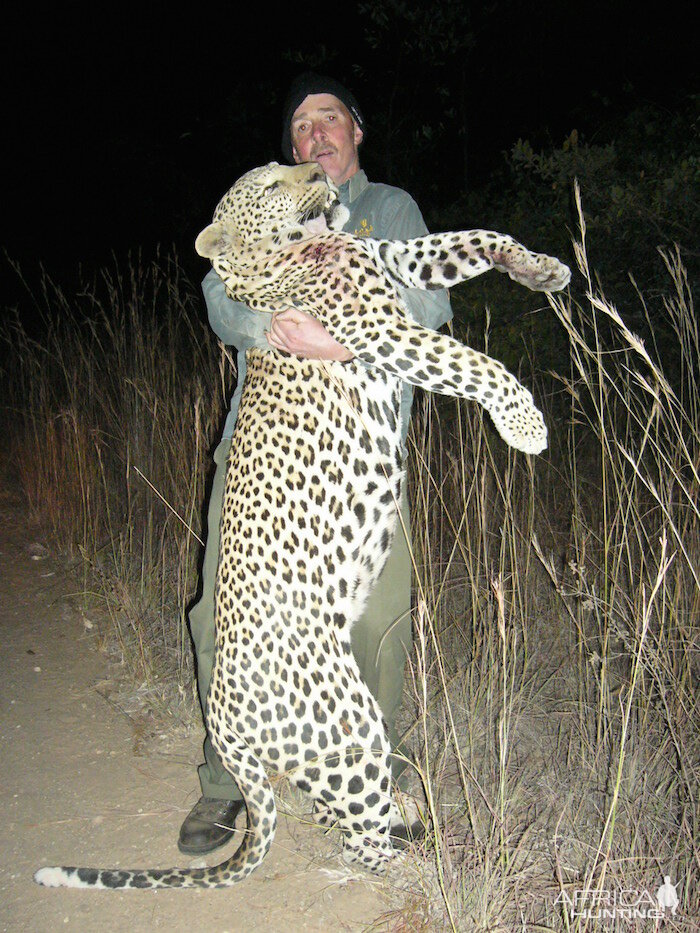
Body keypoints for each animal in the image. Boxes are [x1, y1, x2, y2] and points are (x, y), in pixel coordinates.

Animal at [35, 160, 568, 888]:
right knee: (358, 838)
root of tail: (223, 720)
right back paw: (420, 855)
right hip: (348, 723)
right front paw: (525, 424)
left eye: (289, 168)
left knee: (340, 809)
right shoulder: (380, 332)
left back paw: (413, 816)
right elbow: (470, 362)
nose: (318, 169)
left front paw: (543, 268)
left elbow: (478, 237)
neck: (300, 253)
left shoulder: (400, 259)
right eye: (269, 185)